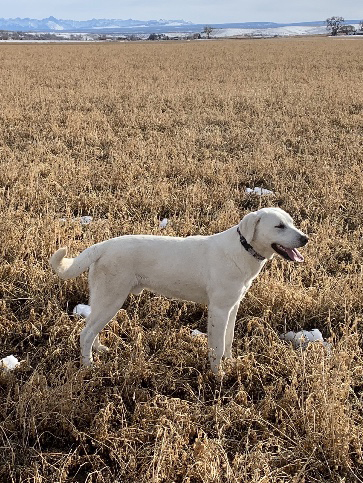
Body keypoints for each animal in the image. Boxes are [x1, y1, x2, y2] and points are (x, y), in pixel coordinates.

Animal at [49, 208, 308, 374]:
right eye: (279, 226)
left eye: (292, 222)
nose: (305, 239)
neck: (242, 250)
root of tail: (102, 246)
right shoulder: (219, 309)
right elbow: (217, 346)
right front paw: (218, 376)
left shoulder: (233, 306)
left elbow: (229, 339)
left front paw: (230, 363)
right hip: (111, 299)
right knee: (85, 333)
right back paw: (89, 366)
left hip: (102, 298)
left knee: (90, 328)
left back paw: (98, 349)